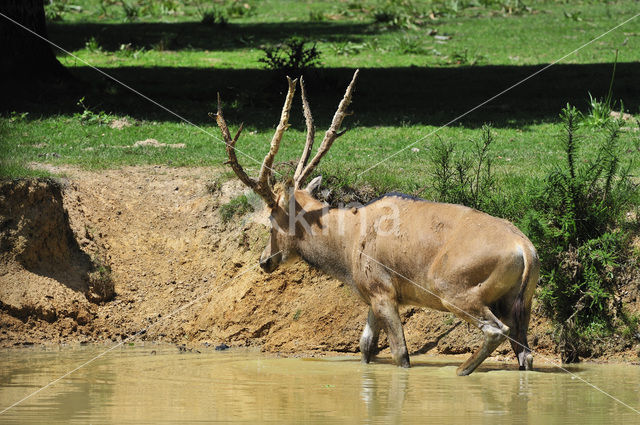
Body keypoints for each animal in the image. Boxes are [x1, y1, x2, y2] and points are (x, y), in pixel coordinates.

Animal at [211, 69, 540, 374]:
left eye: (271, 218)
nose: (264, 260)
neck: (346, 248)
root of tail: (525, 249)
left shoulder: (383, 291)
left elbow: (400, 353)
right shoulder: (372, 296)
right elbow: (366, 346)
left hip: (454, 290)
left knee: (496, 330)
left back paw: (461, 369)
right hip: (519, 303)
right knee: (526, 353)